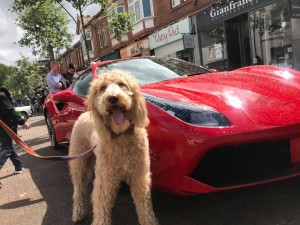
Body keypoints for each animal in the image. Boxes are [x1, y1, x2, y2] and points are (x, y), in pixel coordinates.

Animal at [69, 69, 158, 224]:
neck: (121, 134)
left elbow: (144, 206)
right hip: (79, 161)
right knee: (79, 188)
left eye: (121, 84)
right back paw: (78, 212)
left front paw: (149, 221)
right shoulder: (105, 180)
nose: (112, 98)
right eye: (102, 88)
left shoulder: (140, 176)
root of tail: (84, 114)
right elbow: (101, 209)